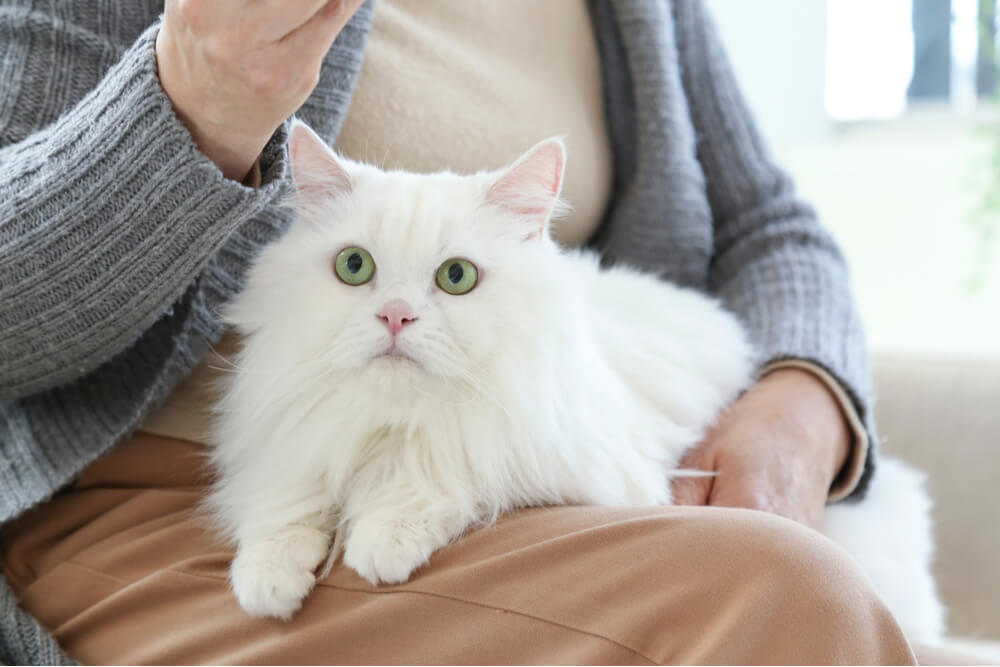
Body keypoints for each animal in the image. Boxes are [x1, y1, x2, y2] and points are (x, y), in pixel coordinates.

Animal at [209, 120, 944, 640]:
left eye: (456, 277)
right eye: (355, 267)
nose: (395, 315)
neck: (395, 425)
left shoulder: (561, 456)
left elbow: (445, 474)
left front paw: (382, 538)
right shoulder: (292, 440)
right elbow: (284, 505)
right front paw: (267, 581)